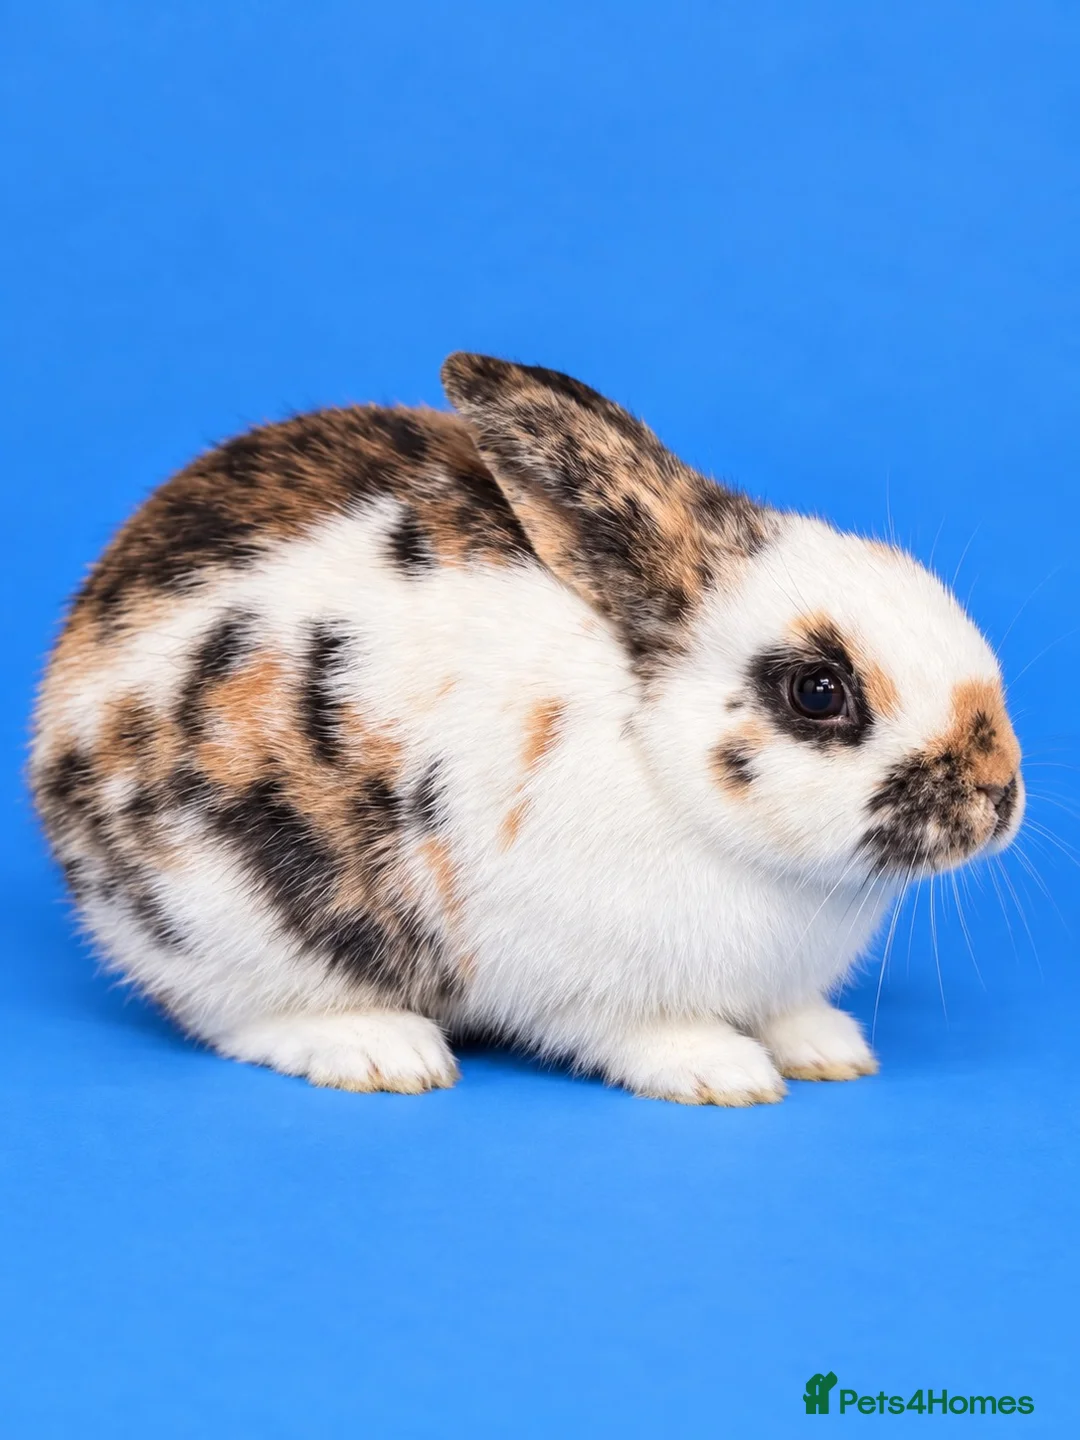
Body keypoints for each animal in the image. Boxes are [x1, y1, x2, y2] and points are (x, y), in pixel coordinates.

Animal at [30, 354, 1024, 1105]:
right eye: (818, 692)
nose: (999, 793)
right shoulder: (593, 983)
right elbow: (642, 1033)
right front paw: (726, 1074)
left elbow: (791, 1013)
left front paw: (830, 1051)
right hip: (222, 920)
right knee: (240, 1017)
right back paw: (385, 1052)